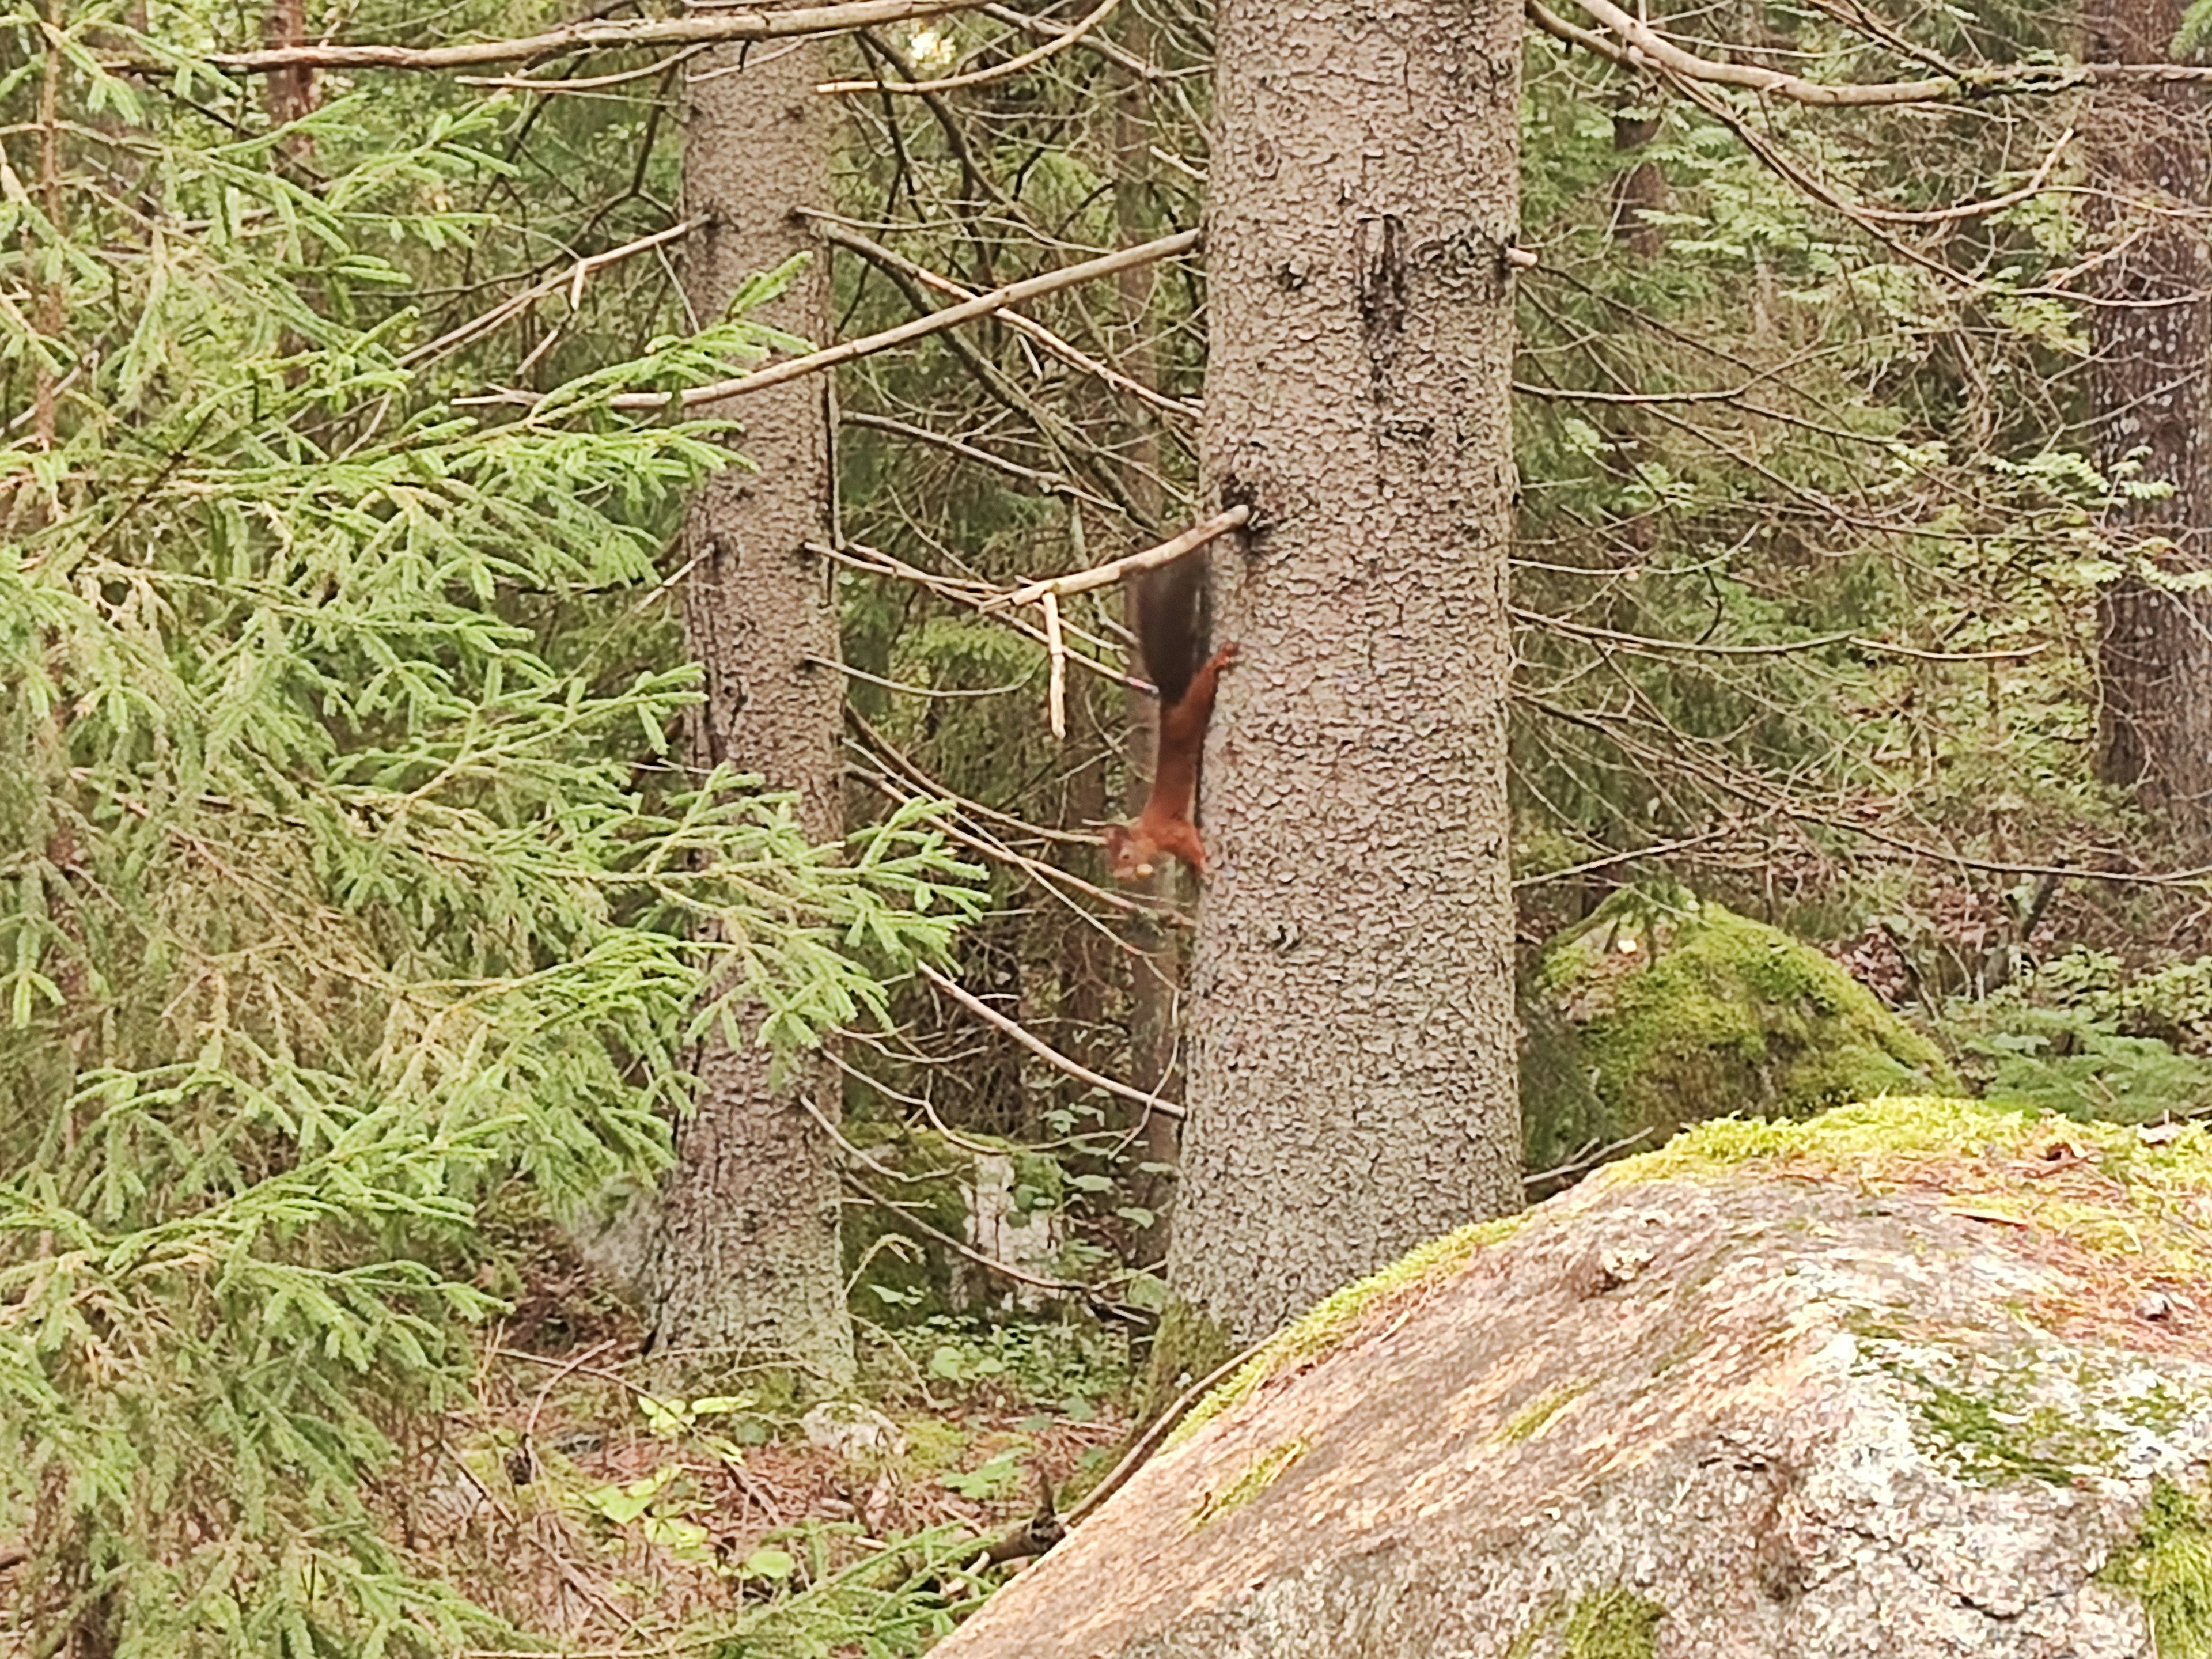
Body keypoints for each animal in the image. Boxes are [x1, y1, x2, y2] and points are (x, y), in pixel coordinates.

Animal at [1101, 559, 1238, 889]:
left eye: (1125, 856)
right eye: (1110, 862)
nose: (1120, 877)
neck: (1149, 832)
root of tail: (1168, 705)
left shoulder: (1173, 830)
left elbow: (1192, 843)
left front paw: (1204, 867)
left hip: (1188, 715)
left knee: (1202, 689)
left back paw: (1218, 661)